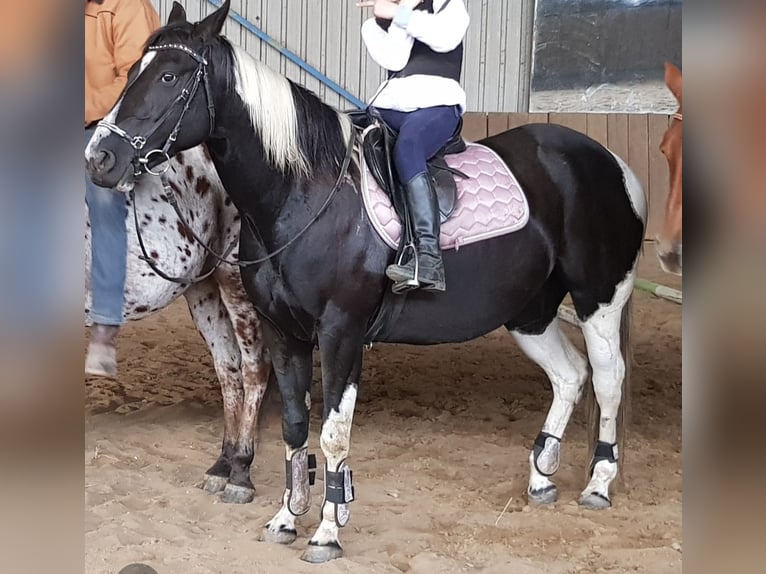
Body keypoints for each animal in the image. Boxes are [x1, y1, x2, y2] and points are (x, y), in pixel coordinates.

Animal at [85, 143, 269, 504]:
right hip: (202, 287)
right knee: (228, 368)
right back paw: (223, 465)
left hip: (234, 280)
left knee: (255, 369)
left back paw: (241, 473)